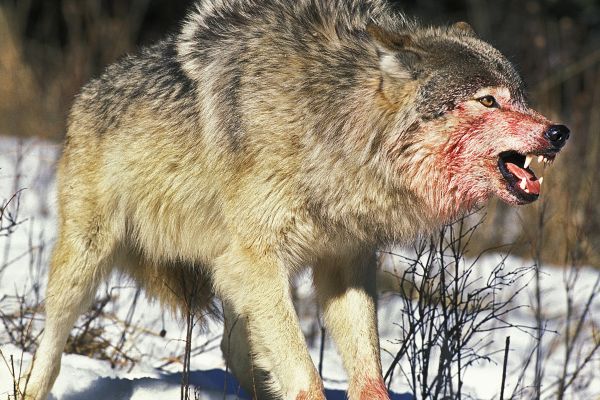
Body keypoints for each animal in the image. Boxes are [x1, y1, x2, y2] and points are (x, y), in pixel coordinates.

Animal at [23, 0, 568, 400]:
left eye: (520, 97)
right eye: (488, 100)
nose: (559, 132)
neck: (333, 125)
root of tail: (89, 88)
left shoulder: (345, 262)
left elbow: (368, 375)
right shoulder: (260, 263)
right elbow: (306, 378)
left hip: (231, 281)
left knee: (234, 353)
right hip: (89, 260)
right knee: (50, 342)